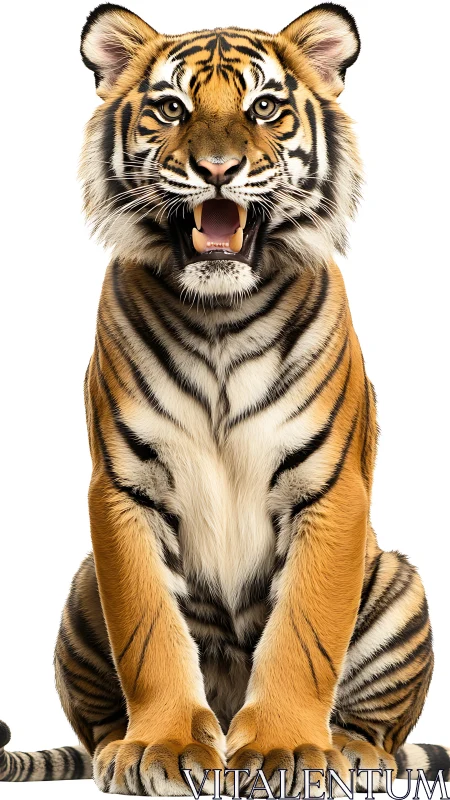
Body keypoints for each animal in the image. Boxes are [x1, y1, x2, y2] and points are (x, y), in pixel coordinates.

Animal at [1, 1, 449, 796]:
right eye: (171, 109)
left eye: (264, 108)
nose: (216, 170)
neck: (220, 314)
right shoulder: (122, 490)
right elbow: (149, 631)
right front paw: (164, 747)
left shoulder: (331, 489)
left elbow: (305, 633)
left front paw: (284, 753)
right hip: (83, 587)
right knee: (94, 724)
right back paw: (116, 749)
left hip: (399, 581)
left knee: (382, 731)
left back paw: (351, 753)